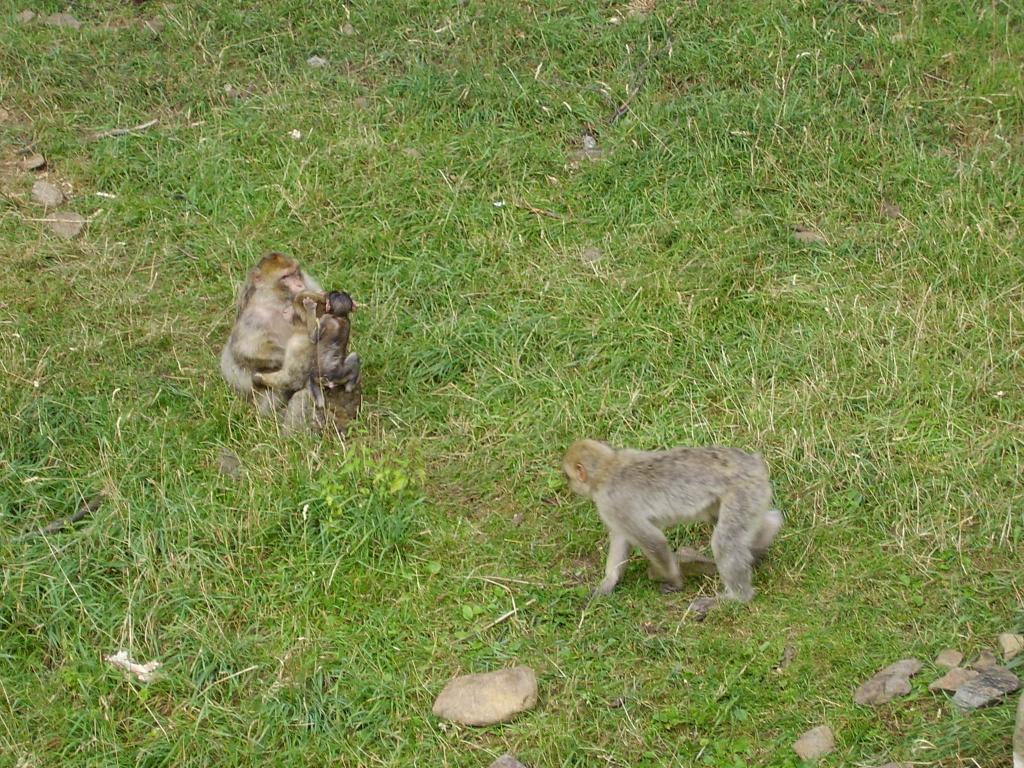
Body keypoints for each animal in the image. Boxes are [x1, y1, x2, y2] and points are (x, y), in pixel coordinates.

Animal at [219, 252, 322, 414]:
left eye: (295, 272)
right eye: (285, 277)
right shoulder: (254, 317)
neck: (278, 301)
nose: (299, 284)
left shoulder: (310, 289)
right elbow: (245, 350)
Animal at [562, 439, 783, 603]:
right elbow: (623, 539)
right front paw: (609, 582)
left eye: (567, 476)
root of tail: (753, 463)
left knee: (725, 542)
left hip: (742, 490)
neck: (607, 468)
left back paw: (736, 598)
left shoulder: (613, 504)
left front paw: (676, 581)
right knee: (728, 519)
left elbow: (653, 541)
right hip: (749, 494)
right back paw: (763, 541)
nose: (570, 486)